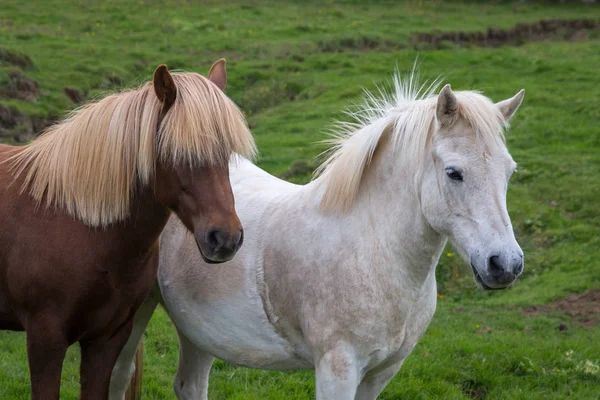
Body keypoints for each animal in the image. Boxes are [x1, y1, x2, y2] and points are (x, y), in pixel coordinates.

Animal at [0, 59, 255, 400]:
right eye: (177, 152)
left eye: (226, 153)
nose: (225, 238)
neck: (77, 223)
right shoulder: (45, 340)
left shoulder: (107, 340)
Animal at [111, 72, 524, 400]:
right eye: (454, 172)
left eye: (510, 171)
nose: (505, 264)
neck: (373, 254)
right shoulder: (337, 369)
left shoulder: (380, 373)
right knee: (119, 378)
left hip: (198, 331)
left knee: (190, 385)